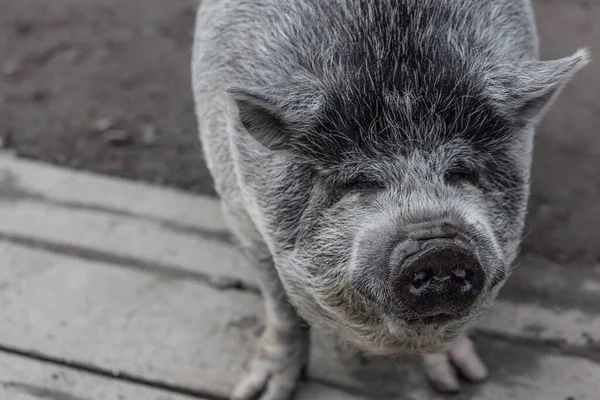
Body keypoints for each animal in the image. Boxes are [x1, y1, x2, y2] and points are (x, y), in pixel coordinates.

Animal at [192, 0, 592, 396]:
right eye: (358, 181)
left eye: (462, 171)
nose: (438, 245)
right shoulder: (239, 211)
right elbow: (279, 304)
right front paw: (258, 391)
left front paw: (460, 380)